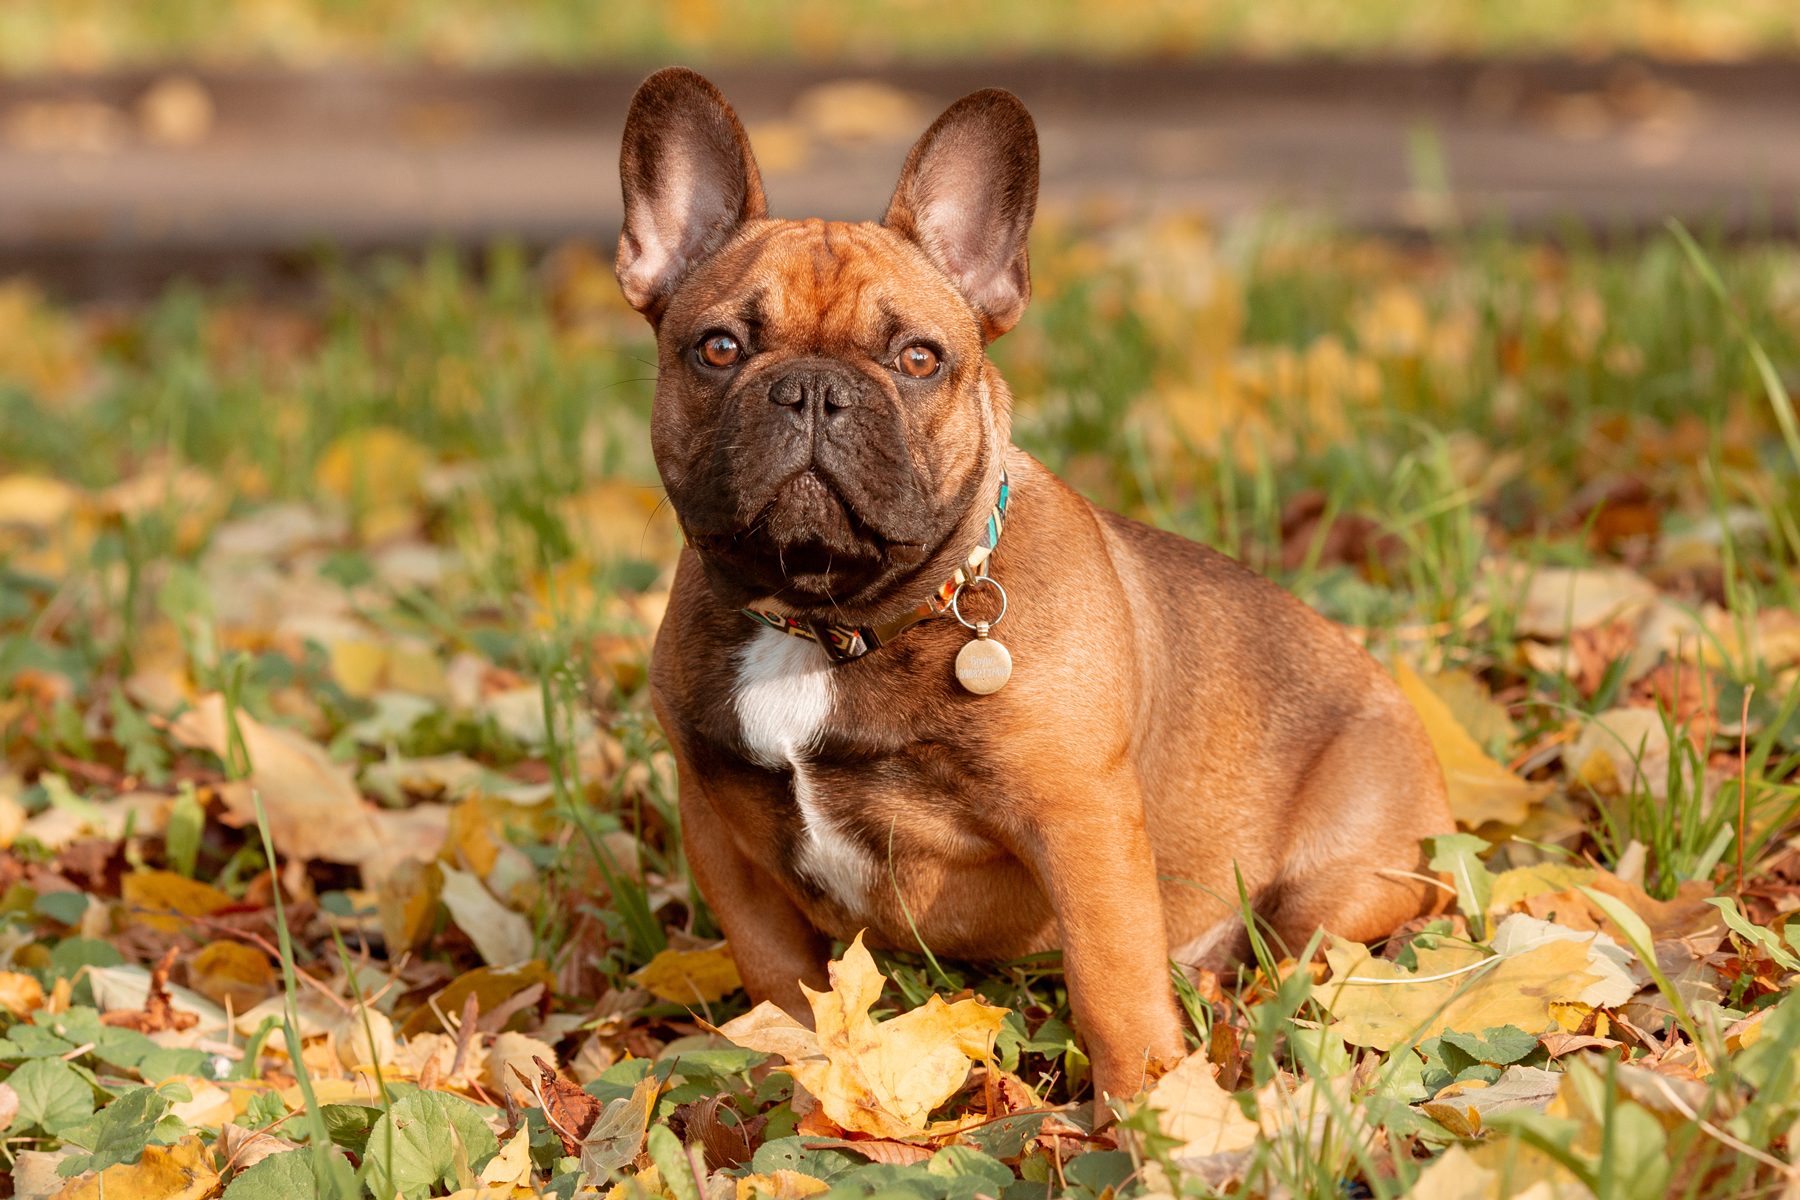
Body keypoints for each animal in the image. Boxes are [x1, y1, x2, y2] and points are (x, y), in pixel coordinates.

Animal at [612, 63, 1454, 1101]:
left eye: (917, 359)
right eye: (719, 348)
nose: (811, 388)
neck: (827, 618)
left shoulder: (1080, 823)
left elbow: (1110, 978)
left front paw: (1153, 1108)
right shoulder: (719, 830)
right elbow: (779, 974)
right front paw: (796, 1070)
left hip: (1336, 886)